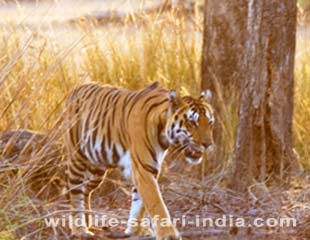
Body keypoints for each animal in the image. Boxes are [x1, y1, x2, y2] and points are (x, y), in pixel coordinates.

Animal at [63, 81, 213, 240]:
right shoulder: (144, 167)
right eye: (192, 123)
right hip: (77, 159)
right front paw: (169, 234)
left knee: (86, 191)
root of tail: (75, 88)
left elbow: (139, 202)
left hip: (96, 169)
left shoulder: (150, 169)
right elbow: (155, 202)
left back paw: (88, 222)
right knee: (75, 193)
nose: (208, 144)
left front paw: (136, 230)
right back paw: (80, 229)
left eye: (210, 123)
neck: (164, 135)